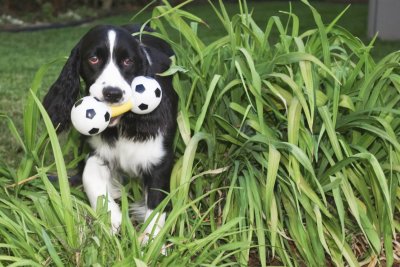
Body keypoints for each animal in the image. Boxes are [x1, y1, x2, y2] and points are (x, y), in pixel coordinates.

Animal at [42, 24, 178, 245]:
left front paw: (151, 244)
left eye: (128, 61)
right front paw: (112, 218)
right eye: (93, 59)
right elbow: (89, 176)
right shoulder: (96, 152)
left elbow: (156, 206)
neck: (121, 126)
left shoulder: (160, 161)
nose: (113, 94)